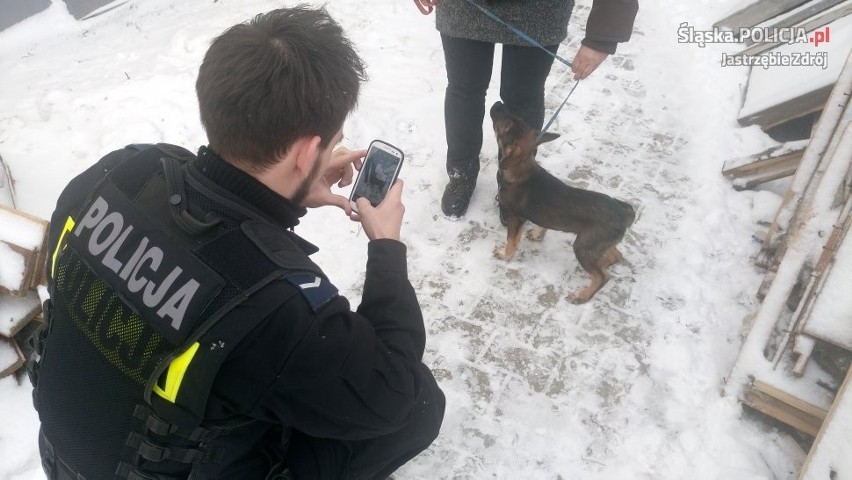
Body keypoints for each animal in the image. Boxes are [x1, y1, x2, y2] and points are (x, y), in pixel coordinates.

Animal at [490, 101, 636, 304]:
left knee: (602, 276)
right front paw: (537, 234)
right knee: (615, 255)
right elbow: (539, 227)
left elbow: (512, 240)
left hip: (583, 246)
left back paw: (582, 295)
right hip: (596, 243)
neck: (520, 167)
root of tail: (625, 212)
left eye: (506, 125)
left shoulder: (514, 218)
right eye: (515, 119)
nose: (497, 103)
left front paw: (505, 255)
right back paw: (604, 262)